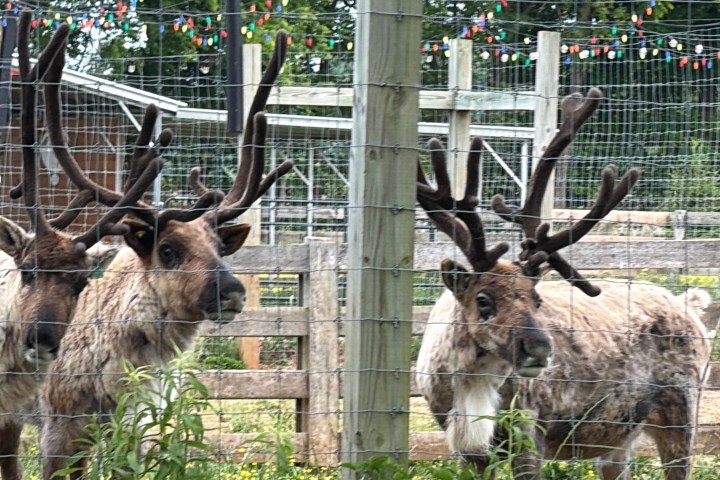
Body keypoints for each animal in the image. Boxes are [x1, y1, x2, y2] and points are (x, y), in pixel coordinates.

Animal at [415, 88, 710, 480]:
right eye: (483, 299)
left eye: (536, 299)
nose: (540, 349)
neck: (469, 383)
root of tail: (689, 306)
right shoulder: (467, 447)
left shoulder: (528, 431)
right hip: (618, 438)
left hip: (681, 410)